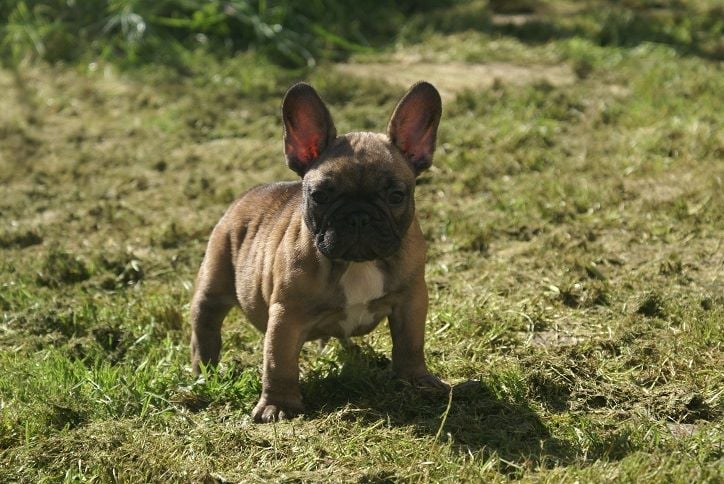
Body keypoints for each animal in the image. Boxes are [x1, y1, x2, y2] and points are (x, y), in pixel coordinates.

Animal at [189, 81, 444, 422]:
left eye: (395, 195)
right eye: (320, 196)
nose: (358, 215)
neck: (355, 264)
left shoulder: (411, 301)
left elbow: (410, 344)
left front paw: (416, 379)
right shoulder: (286, 315)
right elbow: (279, 362)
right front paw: (278, 404)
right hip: (213, 284)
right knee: (206, 327)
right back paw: (203, 373)